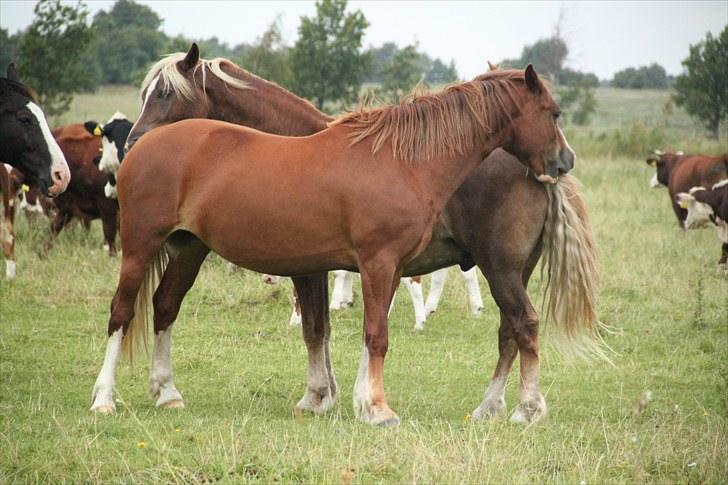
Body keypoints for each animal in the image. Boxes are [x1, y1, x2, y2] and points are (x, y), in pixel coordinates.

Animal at [89, 57, 592, 428]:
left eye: (167, 93)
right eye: (553, 113)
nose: (565, 160)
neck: (402, 159)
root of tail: (148, 151)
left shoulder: (383, 267)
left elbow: (360, 333)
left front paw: (354, 401)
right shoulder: (372, 263)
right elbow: (364, 334)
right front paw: (373, 408)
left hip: (187, 249)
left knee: (164, 306)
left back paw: (168, 393)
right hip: (141, 247)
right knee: (122, 312)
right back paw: (104, 399)